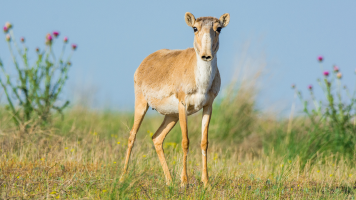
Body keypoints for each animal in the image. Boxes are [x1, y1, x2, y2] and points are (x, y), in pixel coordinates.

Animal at [121, 12, 229, 188]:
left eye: (218, 28)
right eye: (195, 28)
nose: (206, 55)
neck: (201, 82)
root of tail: (146, 61)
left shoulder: (208, 107)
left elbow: (204, 142)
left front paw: (206, 182)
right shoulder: (183, 105)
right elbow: (185, 141)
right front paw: (184, 182)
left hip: (171, 116)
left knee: (157, 138)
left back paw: (169, 180)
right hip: (142, 105)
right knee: (132, 136)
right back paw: (123, 177)